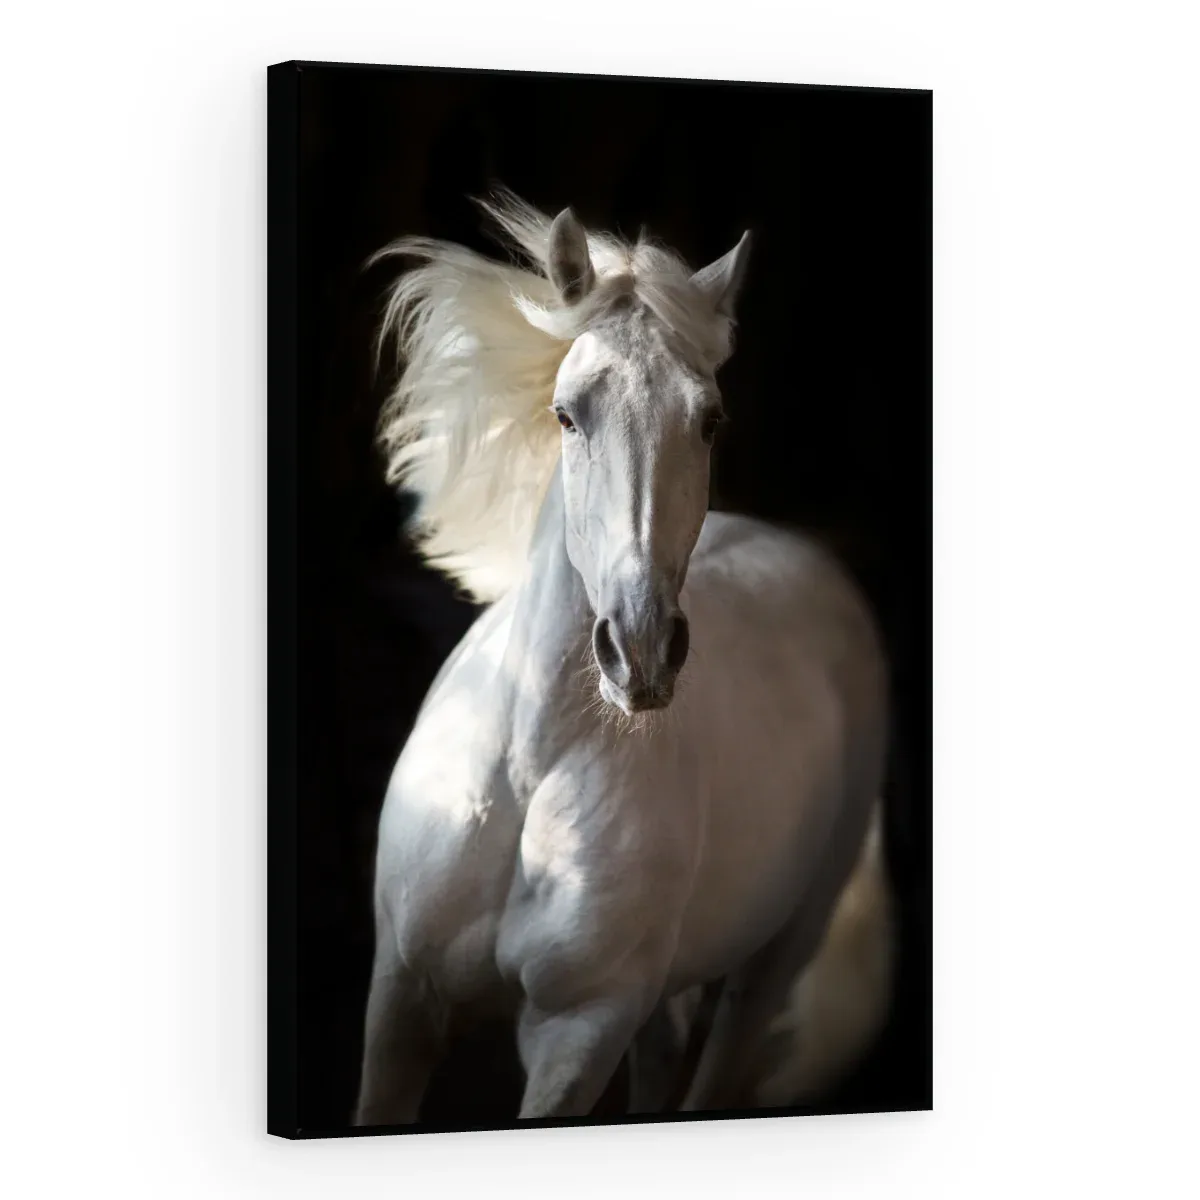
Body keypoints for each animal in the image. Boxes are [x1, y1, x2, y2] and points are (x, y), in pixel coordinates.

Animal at [354, 188, 893, 1124]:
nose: (640, 651)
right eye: (568, 413)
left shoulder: (580, 1031)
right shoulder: (401, 1001)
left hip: (773, 960)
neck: (528, 769)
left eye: (709, 419)